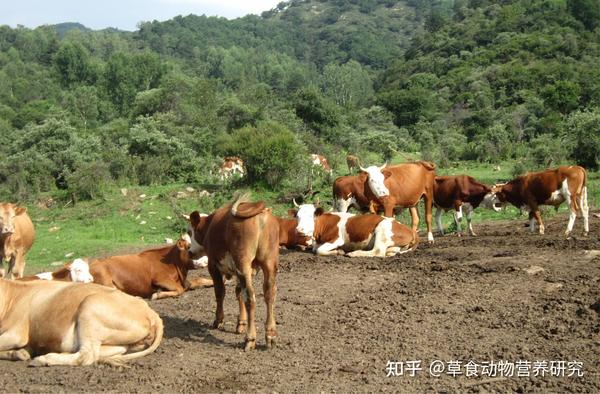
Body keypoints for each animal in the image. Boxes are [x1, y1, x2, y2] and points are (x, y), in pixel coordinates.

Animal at [0, 280, 163, 366]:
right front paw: (19, 353)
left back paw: (43, 359)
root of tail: (151, 312)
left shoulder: (17, 334)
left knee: (86, 355)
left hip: (90, 306)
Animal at [188, 194, 278, 350]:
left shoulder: (213, 265)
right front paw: (240, 323)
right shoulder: (246, 270)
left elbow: (220, 292)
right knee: (269, 294)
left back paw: (250, 338)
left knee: (250, 298)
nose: (189, 252)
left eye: (190, 232)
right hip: (269, 263)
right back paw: (270, 334)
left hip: (243, 263)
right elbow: (238, 292)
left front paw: (219, 320)